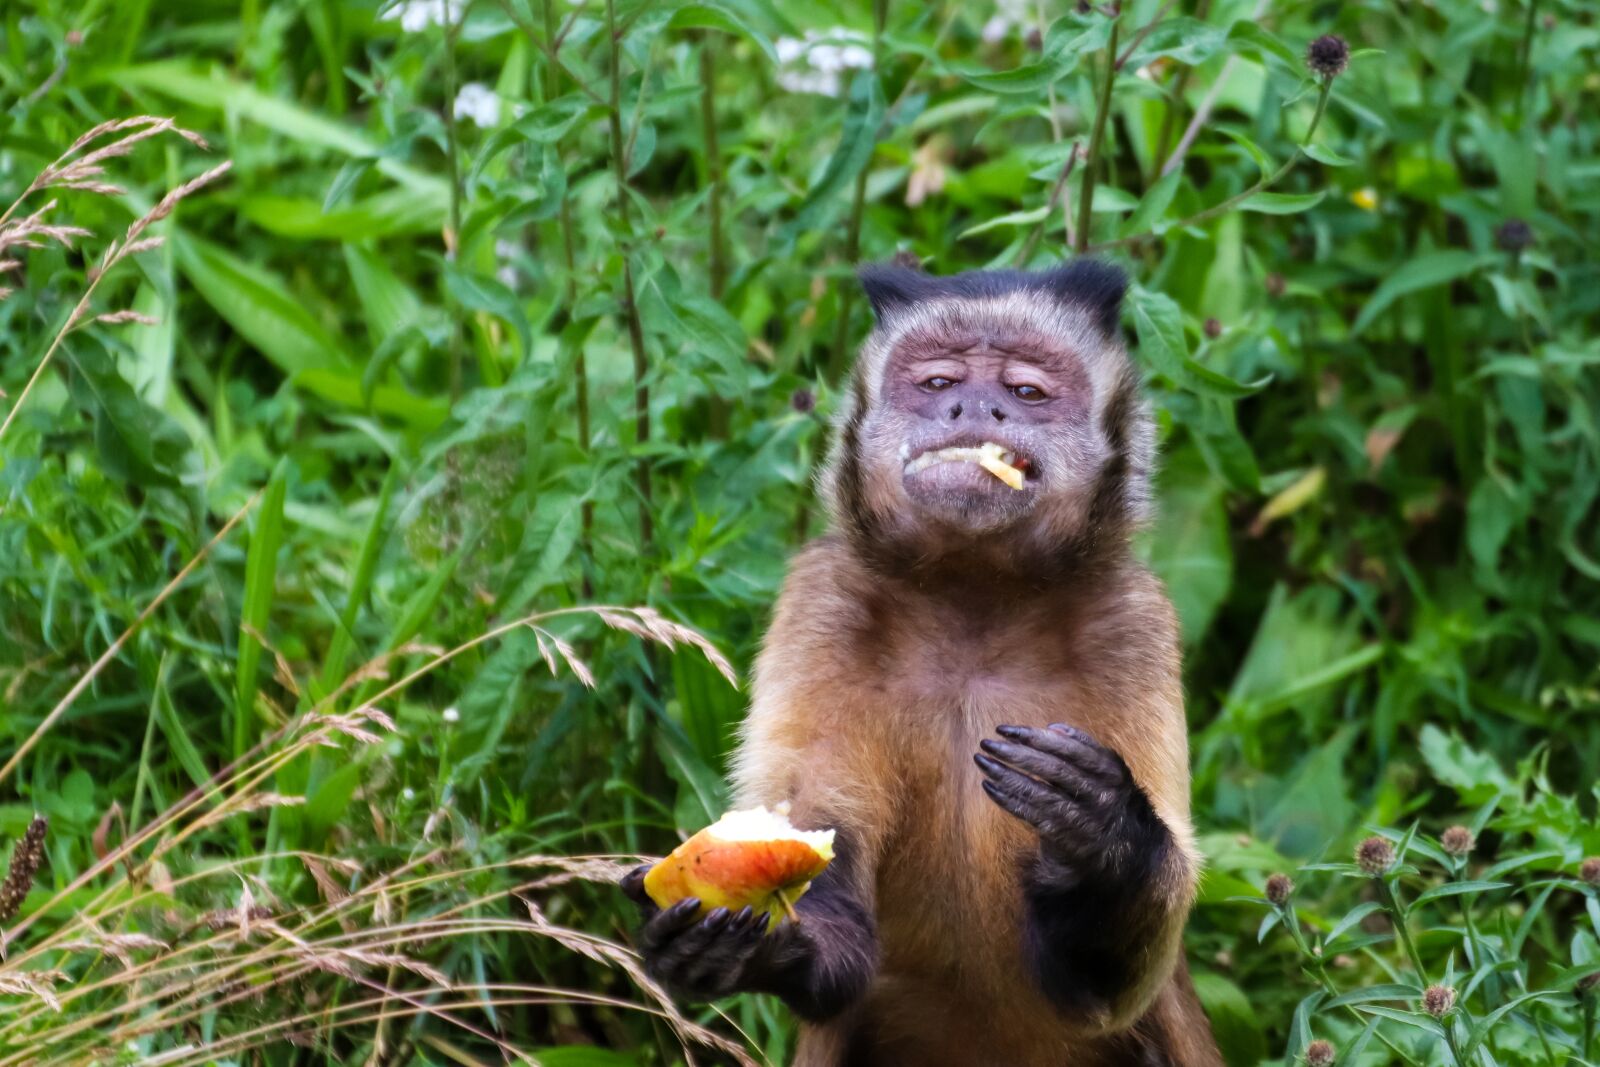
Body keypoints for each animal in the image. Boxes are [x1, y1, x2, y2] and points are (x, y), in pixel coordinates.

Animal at [622, 261, 1223, 1066]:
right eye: (940, 381)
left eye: (1027, 391)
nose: (977, 407)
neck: (973, 603)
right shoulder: (824, 600)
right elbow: (834, 915)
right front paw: (757, 952)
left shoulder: (1132, 620)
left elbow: (1115, 983)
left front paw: (1103, 829)